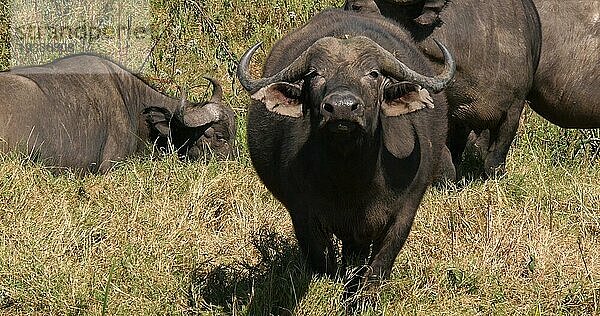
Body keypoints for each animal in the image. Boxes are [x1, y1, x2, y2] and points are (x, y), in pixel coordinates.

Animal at [237, 8, 458, 292]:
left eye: (373, 73)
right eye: (314, 74)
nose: (342, 108)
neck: (352, 180)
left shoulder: (404, 212)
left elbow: (377, 269)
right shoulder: (303, 215)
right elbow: (325, 264)